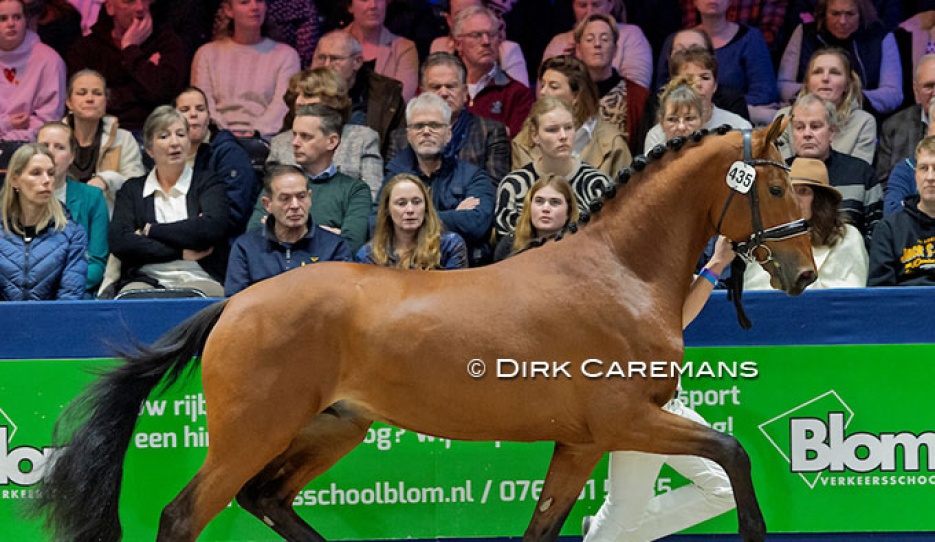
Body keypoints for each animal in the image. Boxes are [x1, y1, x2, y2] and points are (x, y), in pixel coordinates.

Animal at [34, 119, 816, 542]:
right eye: (778, 187)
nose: (805, 274)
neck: (619, 272)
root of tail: (234, 304)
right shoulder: (624, 420)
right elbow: (733, 453)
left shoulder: (581, 442)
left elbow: (544, 525)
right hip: (252, 432)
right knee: (184, 515)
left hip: (333, 427)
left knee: (265, 499)